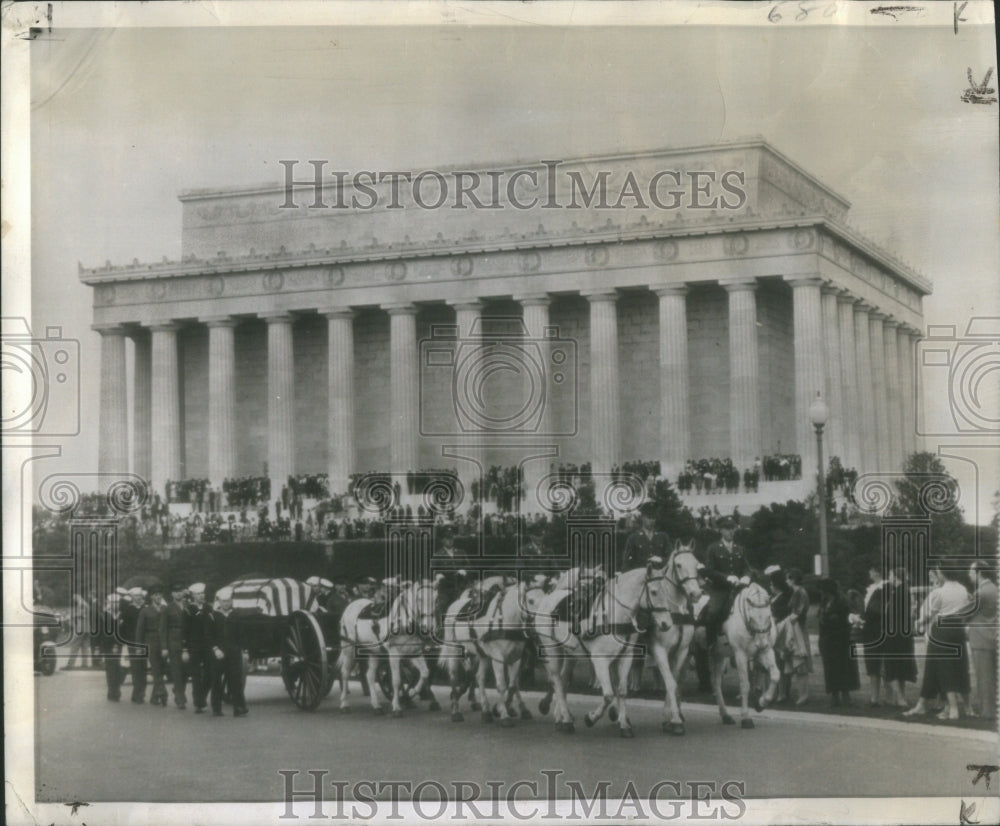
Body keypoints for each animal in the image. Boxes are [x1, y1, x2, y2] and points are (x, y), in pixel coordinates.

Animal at [340, 580, 438, 716]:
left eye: (435, 599)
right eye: (419, 598)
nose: (428, 627)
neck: (403, 621)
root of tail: (351, 605)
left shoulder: (415, 652)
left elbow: (425, 673)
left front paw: (412, 693)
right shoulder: (394, 653)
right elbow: (396, 680)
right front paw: (396, 707)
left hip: (374, 651)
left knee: (370, 675)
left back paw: (376, 705)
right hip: (349, 649)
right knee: (344, 673)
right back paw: (344, 704)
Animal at [536, 560, 676, 732]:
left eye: (666, 592)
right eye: (654, 592)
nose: (666, 624)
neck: (616, 615)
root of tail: (551, 597)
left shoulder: (625, 657)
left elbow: (621, 691)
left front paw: (624, 726)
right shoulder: (600, 660)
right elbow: (608, 695)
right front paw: (591, 718)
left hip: (570, 654)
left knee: (562, 681)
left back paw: (562, 717)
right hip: (552, 649)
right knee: (556, 680)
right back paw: (566, 720)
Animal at [644, 540, 708, 732]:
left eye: (696, 564)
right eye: (678, 565)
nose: (695, 594)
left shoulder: (682, 651)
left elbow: (674, 681)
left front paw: (671, 717)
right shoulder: (659, 650)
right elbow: (670, 682)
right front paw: (674, 720)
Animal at [704, 580, 780, 728]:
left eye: (769, 616)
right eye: (752, 618)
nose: (761, 644)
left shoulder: (766, 651)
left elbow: (775, 675)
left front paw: (761, 703)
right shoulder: (740, 654)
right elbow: (745, 684)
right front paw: (746, 717)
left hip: (718, 655)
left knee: (716, 682)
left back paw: (725, 715)